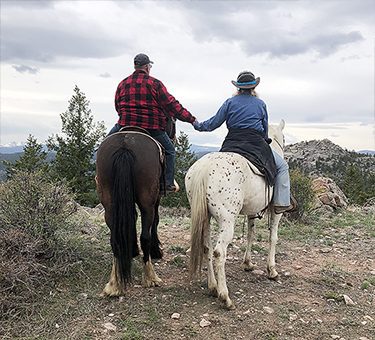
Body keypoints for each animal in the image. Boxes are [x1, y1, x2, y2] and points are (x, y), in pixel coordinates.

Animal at [187, 120, 286, 310]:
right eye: (284, 138)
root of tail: (204, 169)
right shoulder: (276, 211)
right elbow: (273, 237)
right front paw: (272, 270)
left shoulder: (252, 211)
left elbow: (250, 234)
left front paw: (248, 263)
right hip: (227, 221)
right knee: (219, 252)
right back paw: (224, 296)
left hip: (205, 219)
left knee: (207, 247)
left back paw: (213, 287)